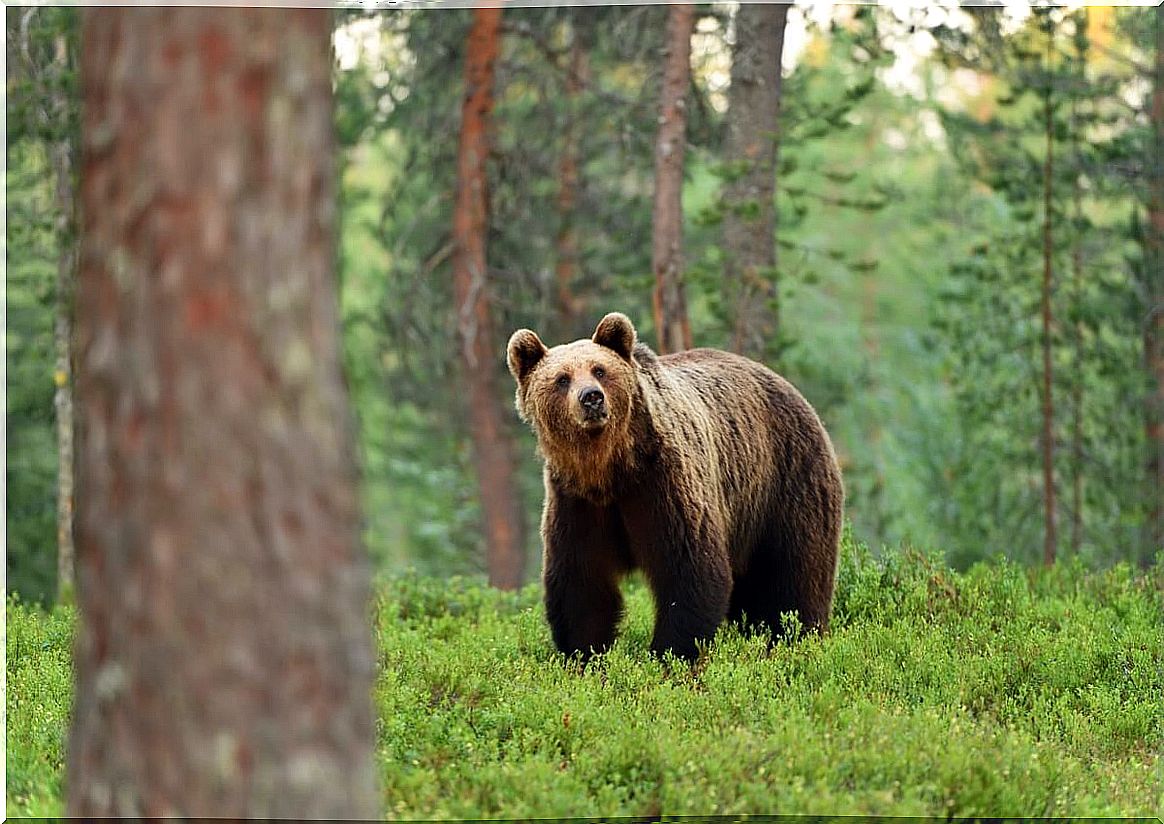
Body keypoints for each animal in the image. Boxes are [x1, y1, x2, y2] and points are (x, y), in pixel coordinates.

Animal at [505, 311, 842, 661]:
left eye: (600, 370)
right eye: (562, 378)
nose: (591, 398)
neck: (609, 471)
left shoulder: (663, 485)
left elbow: (689, 570)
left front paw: (670, 654)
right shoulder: (576, 502)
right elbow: (582, 585)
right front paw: (584, 655)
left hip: (786, 480)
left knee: (796, 573)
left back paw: (795, 636)